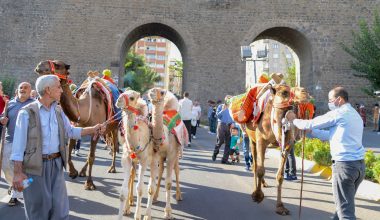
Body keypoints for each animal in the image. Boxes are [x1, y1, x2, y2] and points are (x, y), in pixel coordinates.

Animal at [35, 59, 119, 190]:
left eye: (57, 65)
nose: (39, 65)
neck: (84, 109)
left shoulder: (96, 131)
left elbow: (91, 157)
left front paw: (89, 183)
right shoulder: (76, 127)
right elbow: (69, 151)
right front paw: (73, 172)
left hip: (115, 127)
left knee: (114, 147)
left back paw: (112, 168)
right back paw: (82, 172)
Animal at [115, 89, 158, 220]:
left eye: (132, 97)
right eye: (122, 92)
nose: (119, 100)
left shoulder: (144, 161)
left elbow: (140, 188)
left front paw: (138, 215)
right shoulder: (126, 160)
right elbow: (122, 191)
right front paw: (122, 213)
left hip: (155, 160)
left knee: (152, 186)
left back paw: (148, 214)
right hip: (135, 162)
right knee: (132, 178)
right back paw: (128, 207)